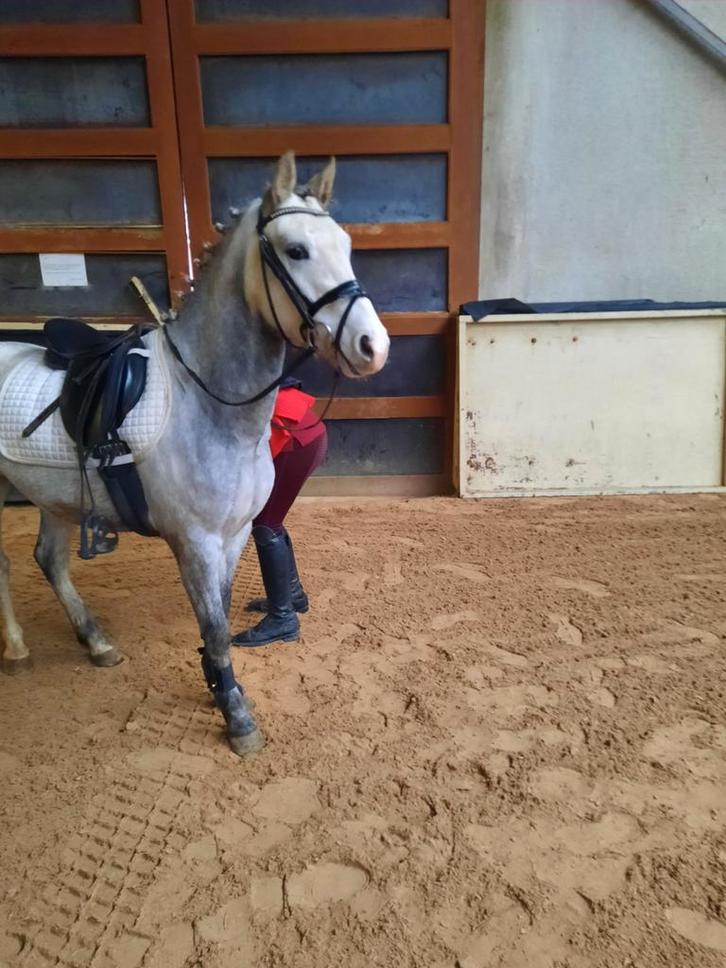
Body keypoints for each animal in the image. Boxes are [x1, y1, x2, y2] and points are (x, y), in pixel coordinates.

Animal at [0, 152, 390, 756]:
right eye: (296, 250)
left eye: (346, 245)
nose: (373, 346)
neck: (209, 405)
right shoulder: (196, 543)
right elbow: (215, 627)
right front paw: (237, 717)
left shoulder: (232, 537)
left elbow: (219, 619)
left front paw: (217, 686)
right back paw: (18, 649)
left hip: (53, 499)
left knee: (49, 560)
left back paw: (95, 642)